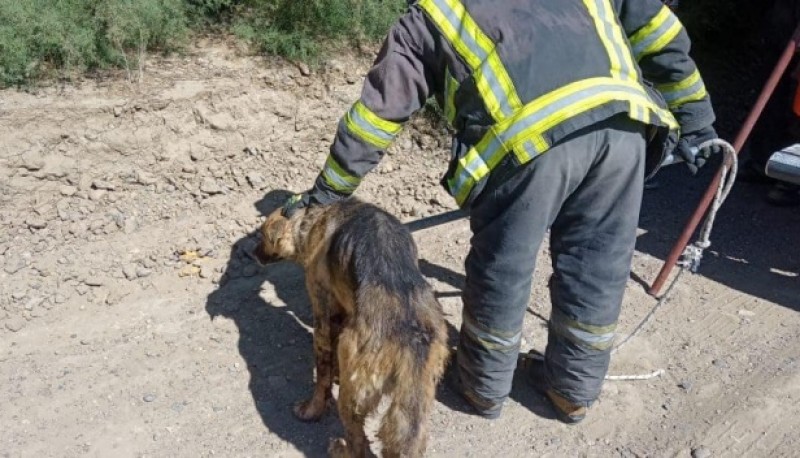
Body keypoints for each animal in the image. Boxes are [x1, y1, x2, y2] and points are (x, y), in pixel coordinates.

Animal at [255, 198, 450, 458]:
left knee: (359, 444)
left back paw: (341, 449)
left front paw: (311, 409)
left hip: (353, 393)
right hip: (415, 406)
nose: (252, 254)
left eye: (262, 236)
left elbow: (323, 377)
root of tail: (411, 336)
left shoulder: (323, 315)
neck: (311, 217)